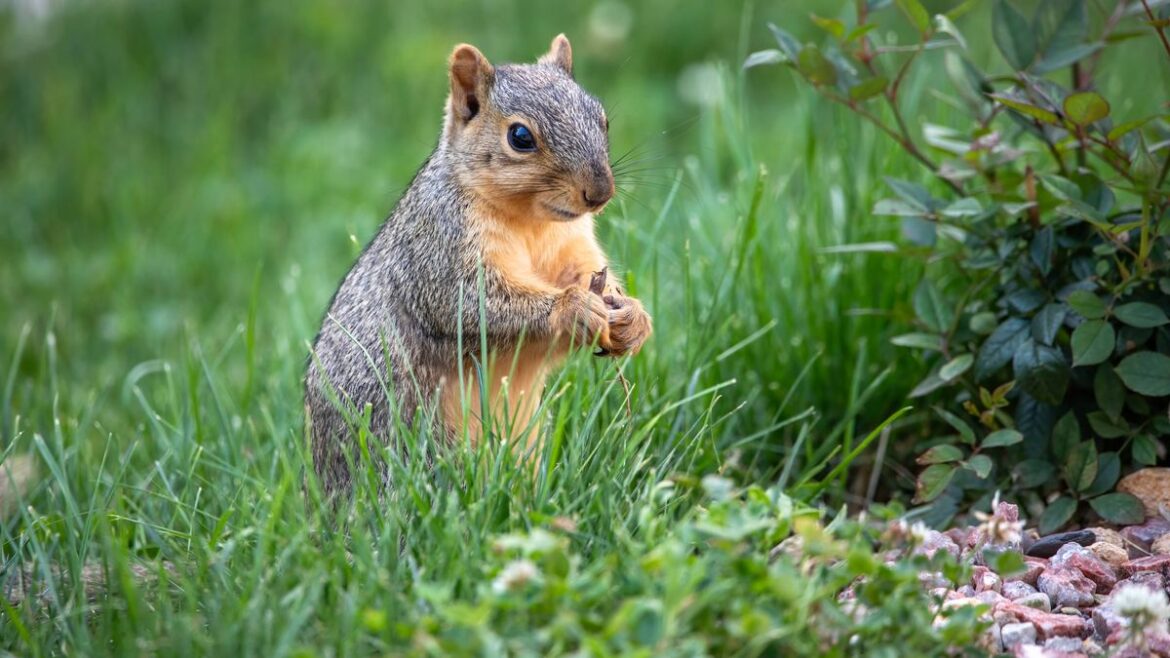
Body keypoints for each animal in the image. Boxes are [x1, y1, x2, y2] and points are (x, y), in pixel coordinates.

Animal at [304, 34, 653, 498]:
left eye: (602, 119)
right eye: (520, 136)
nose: (600, 192)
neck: (531, 222)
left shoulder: (571, 246)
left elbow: (584, 275)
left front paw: (632, 316)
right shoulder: (439, 249)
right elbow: (472, 305)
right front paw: (573, 308)